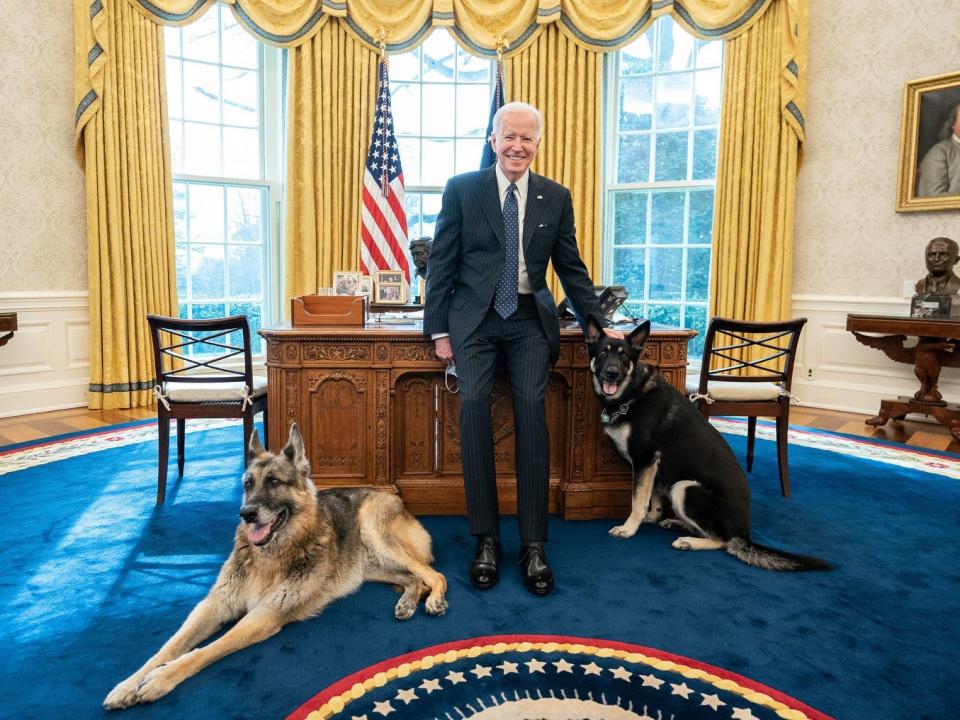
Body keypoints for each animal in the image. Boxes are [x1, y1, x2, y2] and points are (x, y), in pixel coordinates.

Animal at [580, 318, 828, 572]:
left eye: (624, 357)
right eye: (602, 353)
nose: (612, 374)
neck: (631, 392)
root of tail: (745, 533)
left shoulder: (644, 461)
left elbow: (637, 500)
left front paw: (629, 528)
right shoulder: (655, 468)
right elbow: (654, 498)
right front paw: (651, 517)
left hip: (684, 488)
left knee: (723, 541)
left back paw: (689, 541)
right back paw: (677, 523)